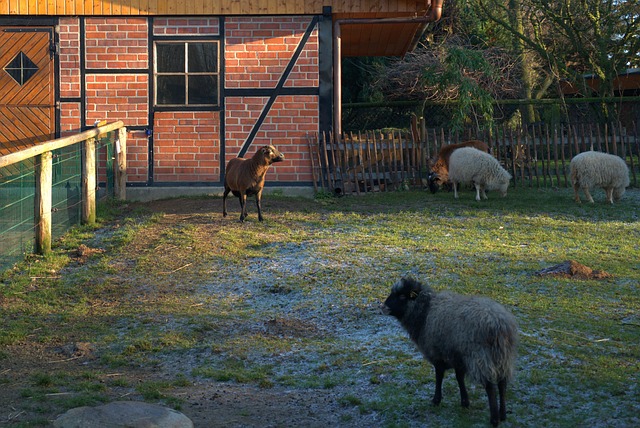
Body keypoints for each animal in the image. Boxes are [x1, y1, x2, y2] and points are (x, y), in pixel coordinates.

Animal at [382, 280, 516, 426]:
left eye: (402, 296)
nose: (383, 307)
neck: (424, 312)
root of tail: (498, 324)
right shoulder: (456, 356)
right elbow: (459, 378)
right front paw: (465, 402)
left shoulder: (437, 353)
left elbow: (439, 376)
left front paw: (436, 400)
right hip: (502, 357)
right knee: (502, 383)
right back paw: (503, 415)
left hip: (479, 357)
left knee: (490, 387)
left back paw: (494, 419)